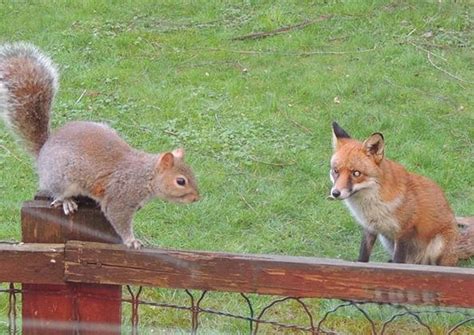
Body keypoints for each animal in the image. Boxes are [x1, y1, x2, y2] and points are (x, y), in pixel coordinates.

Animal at [0, 42, 200, 249]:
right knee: (56, 192)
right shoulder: (120, 197)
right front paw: (131, 240)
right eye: (181, 181)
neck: (146, 175)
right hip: (61, 177)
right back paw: (67, 201)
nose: (196, 198)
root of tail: (43, 151)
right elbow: (118, 218)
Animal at [330, 122, 474, 266]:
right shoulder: (369, 229)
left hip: (437, 246)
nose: (335, 193)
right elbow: (363, 256)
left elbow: (398, 261)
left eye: (356, 173)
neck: (372, 205)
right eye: (336, 171)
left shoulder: (404, 231)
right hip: (386, 240)